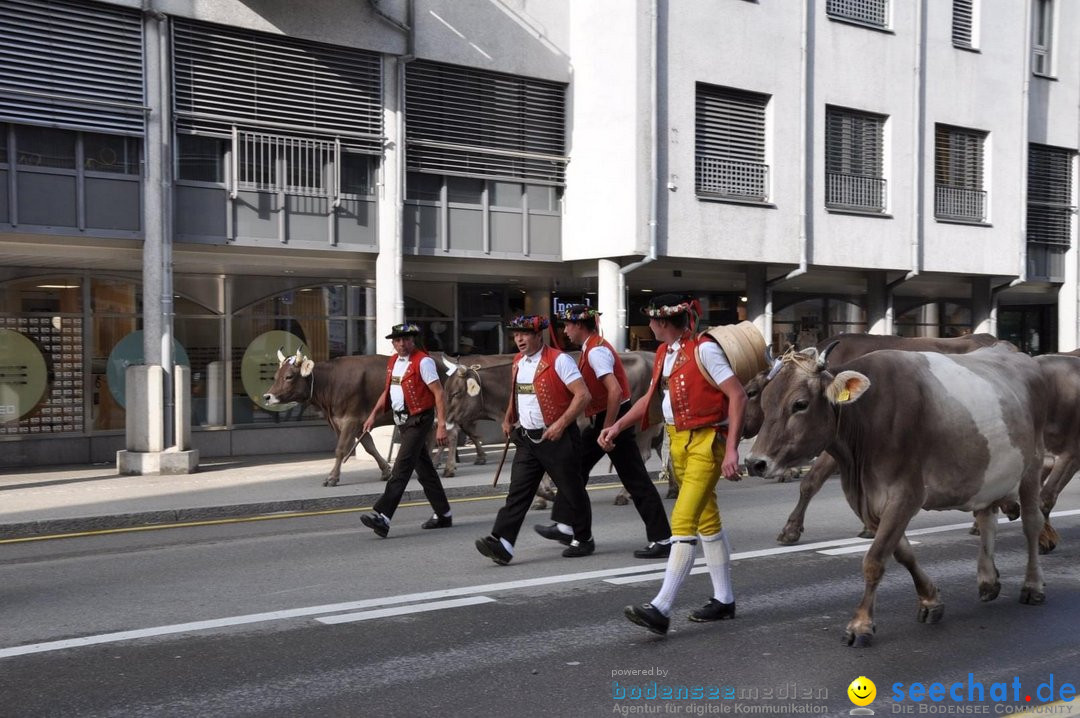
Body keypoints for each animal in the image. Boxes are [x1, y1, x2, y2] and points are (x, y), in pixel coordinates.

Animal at [747, 345, 1041, 647]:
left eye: (800, 404)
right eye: (764, 401)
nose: (754, 463)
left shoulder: (905, 496)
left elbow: (875, 560)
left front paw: (860, 624)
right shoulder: (868, 502)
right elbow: (904, 554)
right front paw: (930, 600)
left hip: (1032, 467)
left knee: (1032, 524)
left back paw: (1032, 585)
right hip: (987, 476)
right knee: (986, 519)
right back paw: (988, 580)